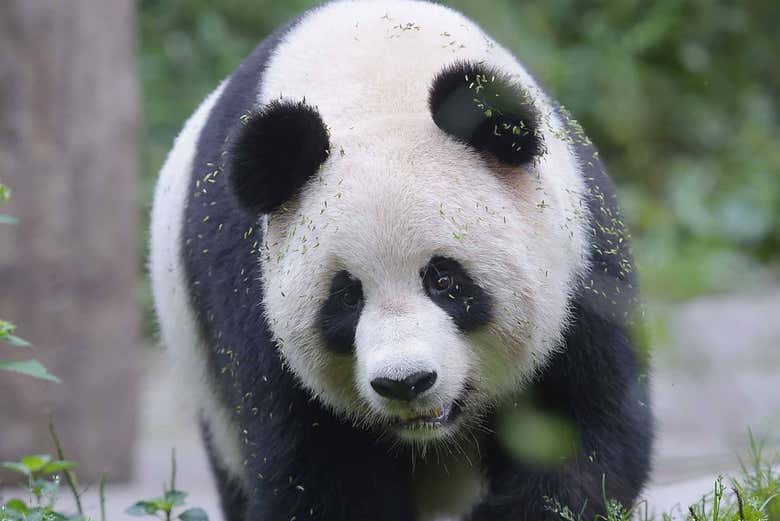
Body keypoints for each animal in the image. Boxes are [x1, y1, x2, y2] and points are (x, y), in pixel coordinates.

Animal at [149, 1, 653, 520]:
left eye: (444, 281)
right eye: (347, 297)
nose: (406, 383)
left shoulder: (577, 264)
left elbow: (580, 431)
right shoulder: (251, 297)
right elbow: (320, 473)